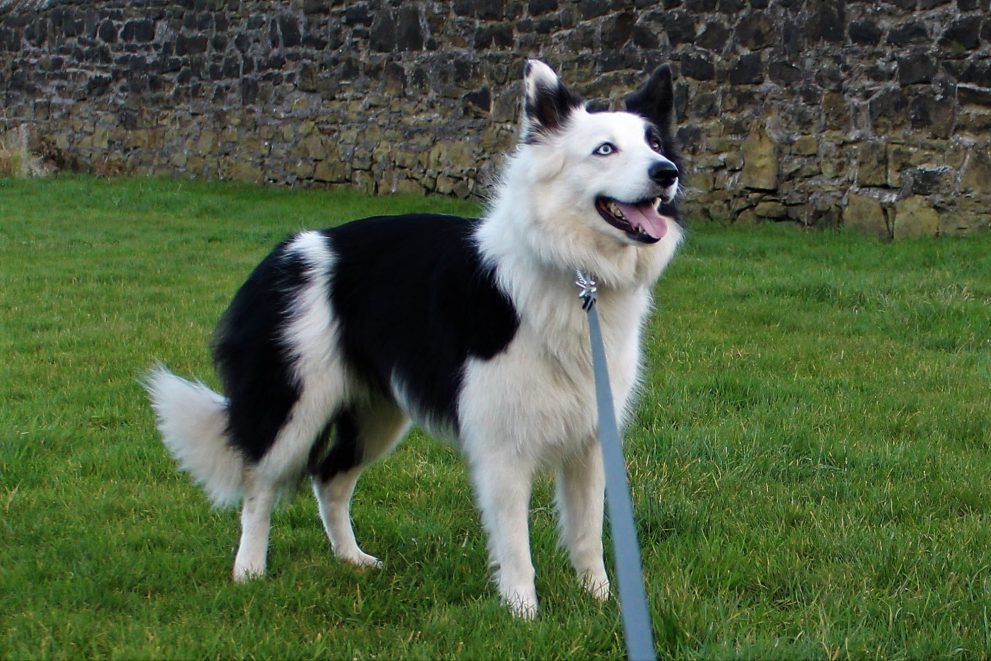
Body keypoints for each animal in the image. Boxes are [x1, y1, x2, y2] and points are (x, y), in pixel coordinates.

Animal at [147, 59, 684, 616]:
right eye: (605, 149)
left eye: (655, 142)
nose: (667, 173)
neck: (572, 272)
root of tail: (279, 257)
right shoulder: (502, 447)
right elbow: (516, 543)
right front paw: (522, 612)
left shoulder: (591, 439)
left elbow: (588, 533)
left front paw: (601, 601)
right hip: (297, 406)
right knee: (260, 486)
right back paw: (249, 571)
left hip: (377, 416)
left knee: (329, 480)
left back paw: (352, 560)